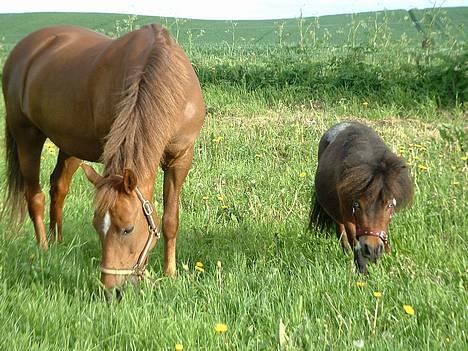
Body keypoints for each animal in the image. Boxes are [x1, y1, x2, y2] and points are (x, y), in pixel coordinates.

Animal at [1, 24, 204, 288]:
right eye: (97, 226)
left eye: (128, 229)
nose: (110, 288)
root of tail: (23, 50)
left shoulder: (180, 160)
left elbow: (170, 220)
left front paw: (169, 273)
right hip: (27, 136)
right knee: (35, 196)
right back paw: (44, 248)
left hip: (70, 145)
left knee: (58, 187)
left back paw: (58, 243)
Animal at [310, 122, 414, 274]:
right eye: (357, 205)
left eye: (390, 205)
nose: (372, 249)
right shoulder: (348, 216)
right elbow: (355, 243)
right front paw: (363, 272)